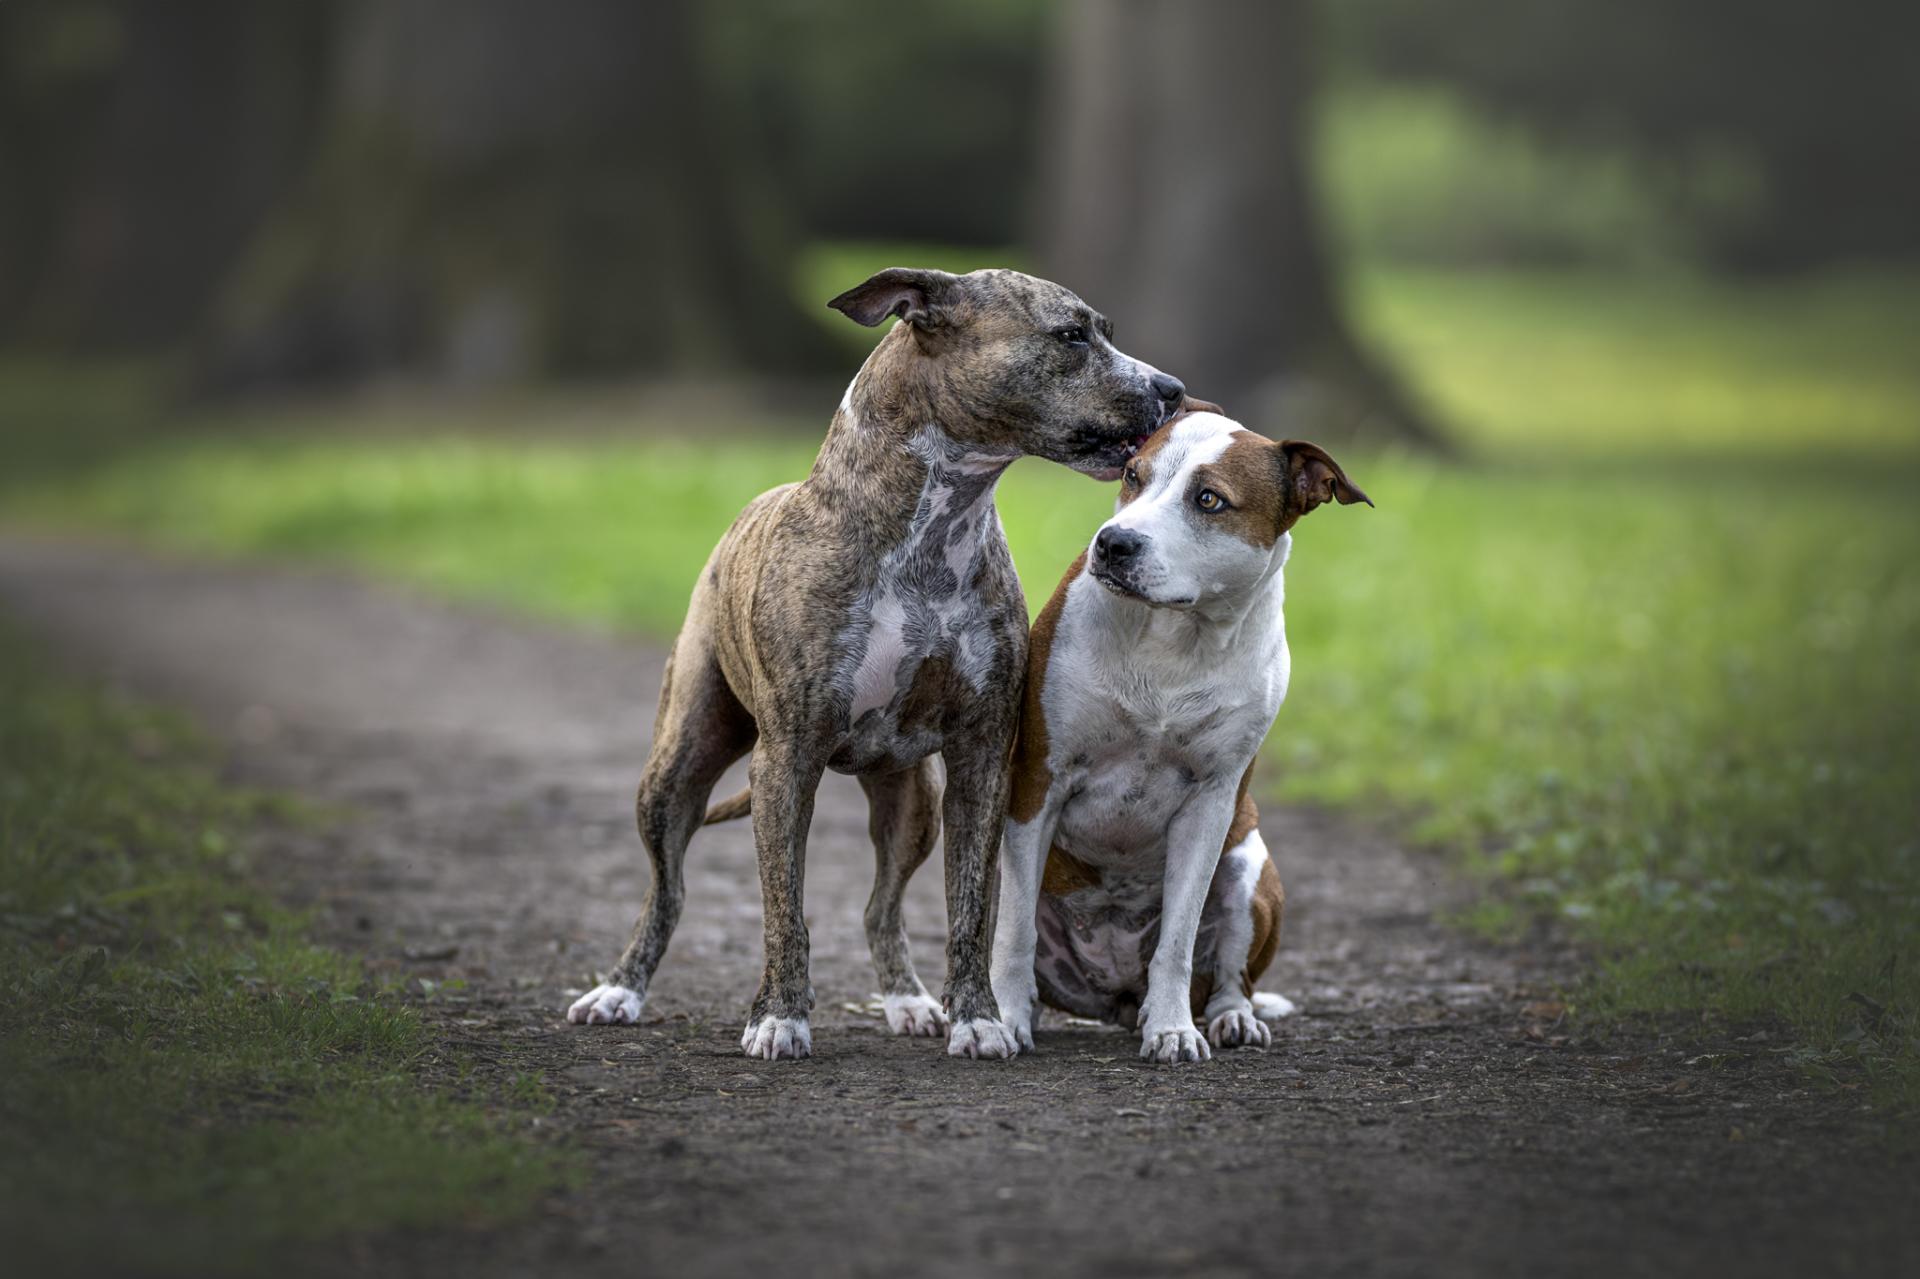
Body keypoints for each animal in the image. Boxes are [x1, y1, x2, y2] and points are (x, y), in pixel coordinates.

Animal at [560, 266, 1182, 1052]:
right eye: (1070, 335)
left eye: (1106, 331)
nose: (1172, 387)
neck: (932, 532)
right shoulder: (786, 759)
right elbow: (784, 910)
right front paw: (779, 1016)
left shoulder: (981, 758)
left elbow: (970, 909)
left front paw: (977, 1019)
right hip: (677, 767)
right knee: (666, 889)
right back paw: (619, 989)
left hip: (911, 801)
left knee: (881, 906)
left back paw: (908, 1000)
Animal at [990, 405, 1367, 1052]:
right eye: (1132, 475)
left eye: (1209, 499)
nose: (1113, 542)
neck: (1175, 637)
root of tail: (1113, 995)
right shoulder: (1039, 781)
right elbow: (1014, 934)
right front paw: (1007, 1018)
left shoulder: (1210, 805)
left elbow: (1180, 939)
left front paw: (1171, 1029)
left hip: (1249, 870)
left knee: (1233, 977)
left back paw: (1229, 1018)